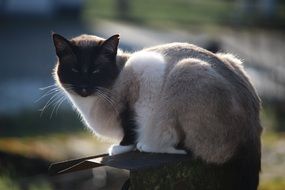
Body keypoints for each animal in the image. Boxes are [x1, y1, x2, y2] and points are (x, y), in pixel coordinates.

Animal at [52, 32, 260, 187]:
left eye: (95, 71)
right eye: (74, 71)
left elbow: (131, 124)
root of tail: (253, 133)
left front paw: (121, 147)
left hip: (186, 70)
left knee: (189, 149)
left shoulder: (142, 77)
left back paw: (146, 145)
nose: (84, 88)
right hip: (231, 59)